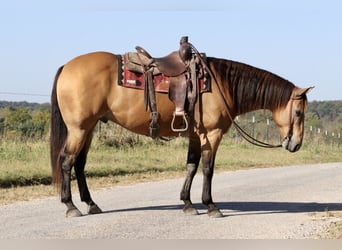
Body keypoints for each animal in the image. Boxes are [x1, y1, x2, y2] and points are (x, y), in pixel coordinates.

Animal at [50, 38, 312, 217]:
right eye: (299, 112)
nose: (296, 144)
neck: (221, 84)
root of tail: (66, 66)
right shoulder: (212, 135)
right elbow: (207, 169)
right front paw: (211, 206)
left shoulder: (196, 136)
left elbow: (191, 167)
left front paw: (187, 203)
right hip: (79, 128)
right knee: (67, 161)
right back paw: (71, 206)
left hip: (89, 128)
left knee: (80, 164)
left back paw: (91, 204)